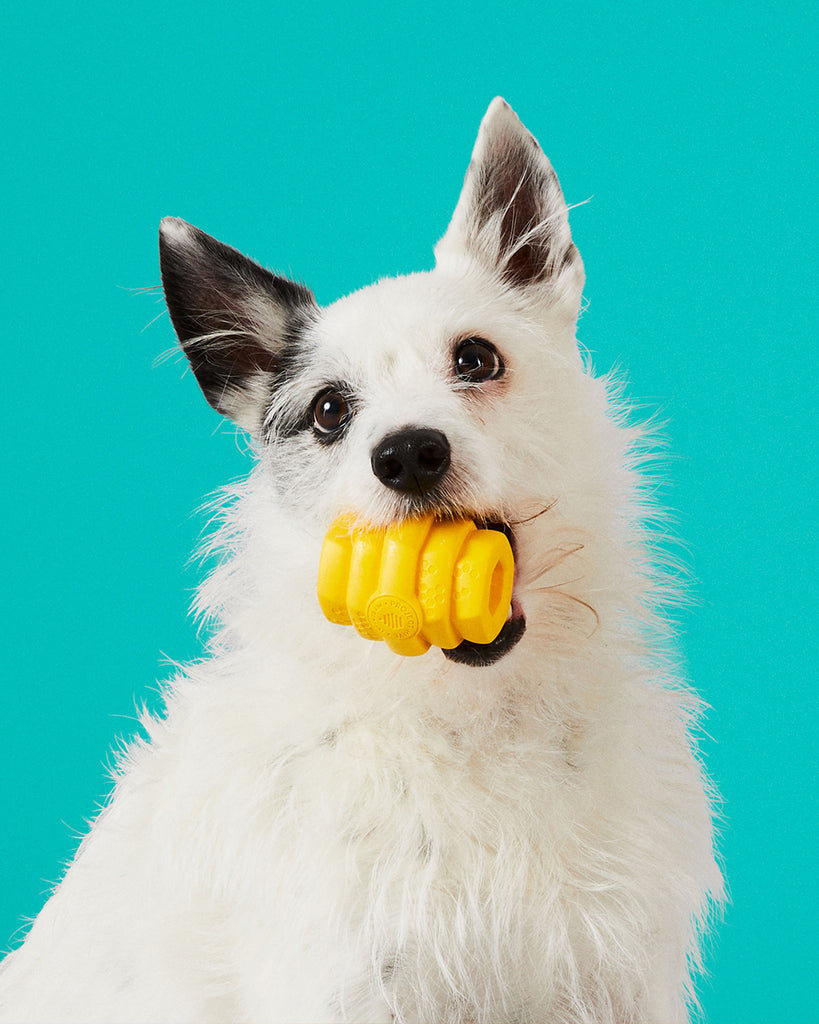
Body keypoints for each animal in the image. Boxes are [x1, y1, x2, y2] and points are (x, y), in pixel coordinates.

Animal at [0, 97, 720, 1024]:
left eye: (475, 358)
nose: (407, 453)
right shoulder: (344, 983)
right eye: (329, 412)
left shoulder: (614, 982)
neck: (474, 718)